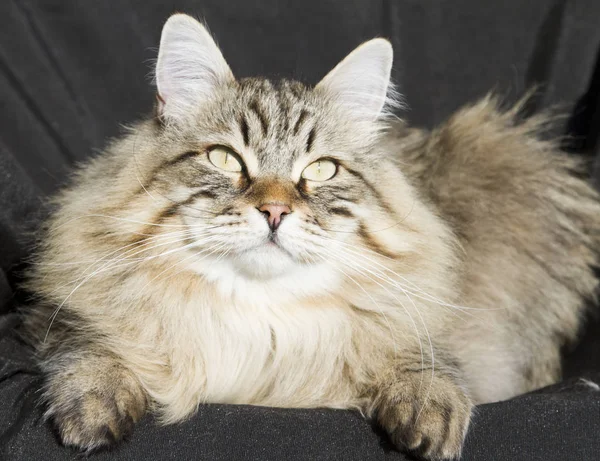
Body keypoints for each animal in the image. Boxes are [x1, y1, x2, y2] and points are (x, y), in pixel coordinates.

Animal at [21, 12, 600, 458]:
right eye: (225, 159)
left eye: (321, 170)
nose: (275, 210)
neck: (262, 321)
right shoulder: (60, 315)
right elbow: (90, 350)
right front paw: (94, 409)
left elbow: (430, 366)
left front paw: (428, 417)